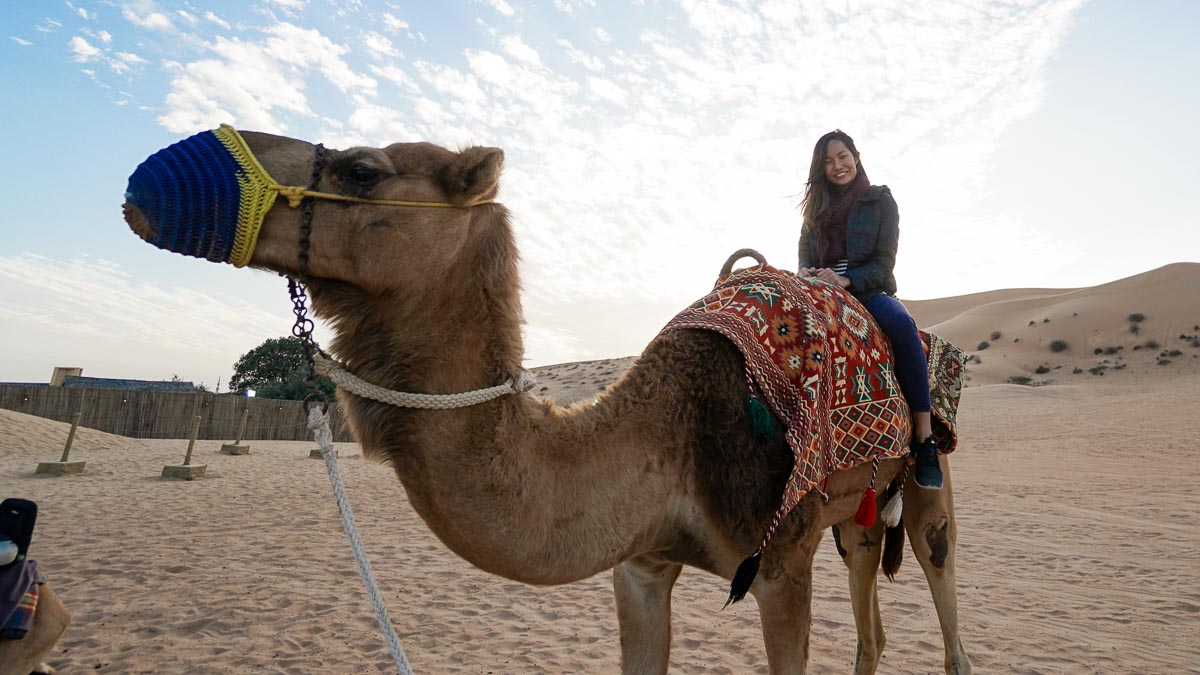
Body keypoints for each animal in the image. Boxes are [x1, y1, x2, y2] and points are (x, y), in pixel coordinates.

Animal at [121, 127, 969, 672]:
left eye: (362, 169)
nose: (151, 178)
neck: (674, 436)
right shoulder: (640, 564)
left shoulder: (779, 565)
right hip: (856, 516)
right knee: (871, 619)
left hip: (923, 493)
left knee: (942, 594)